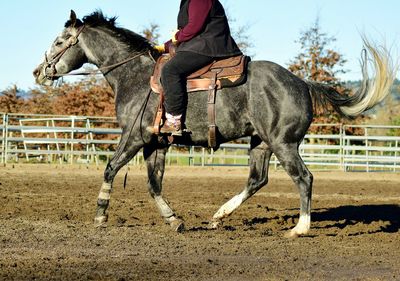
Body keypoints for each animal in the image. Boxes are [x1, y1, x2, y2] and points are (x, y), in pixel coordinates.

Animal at [33, 9, 396, 236]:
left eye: (58, 41)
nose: (38, 72)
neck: (134, 75)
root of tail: (302, 82)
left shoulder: (134, 137)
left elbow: (110, 169)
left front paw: (100, 216)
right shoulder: (156, 143)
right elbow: (154, 185)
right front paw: (174, 220)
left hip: (284, 144)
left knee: (303, 178)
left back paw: (300, 228)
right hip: (261, 143)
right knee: (257, 179)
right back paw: (219, 216)